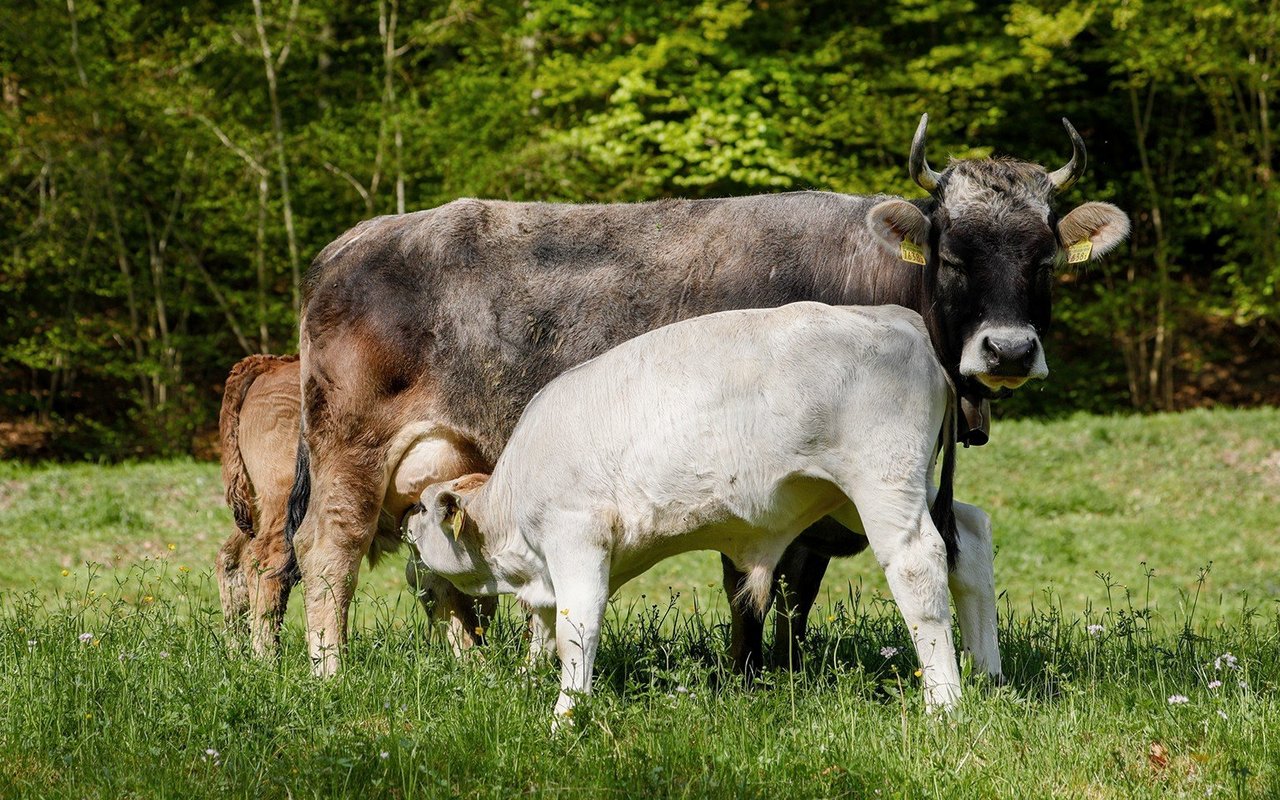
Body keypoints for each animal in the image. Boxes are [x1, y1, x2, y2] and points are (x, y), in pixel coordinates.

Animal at [288, 115, 1130, 676]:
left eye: (1046, 257)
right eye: (954, 253)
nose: (1008, 350)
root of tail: (350, 243)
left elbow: (796, 591)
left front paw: (784, 671)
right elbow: (761, 585)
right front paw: (754, 675)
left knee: (438, 581)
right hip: (350, 449)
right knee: (326, 552)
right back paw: (328, 673)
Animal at [404, 302, 980, 722]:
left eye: (422, 508)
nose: (408, 523)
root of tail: (897, 317)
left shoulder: (578, 539)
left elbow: (576, 632)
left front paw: (565, 718)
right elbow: (544, 633)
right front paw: (525, 685)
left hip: (882, 483)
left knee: (919, 566)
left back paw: (944, 705)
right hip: (868, 496)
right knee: (970, 538)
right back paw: (986, 672)